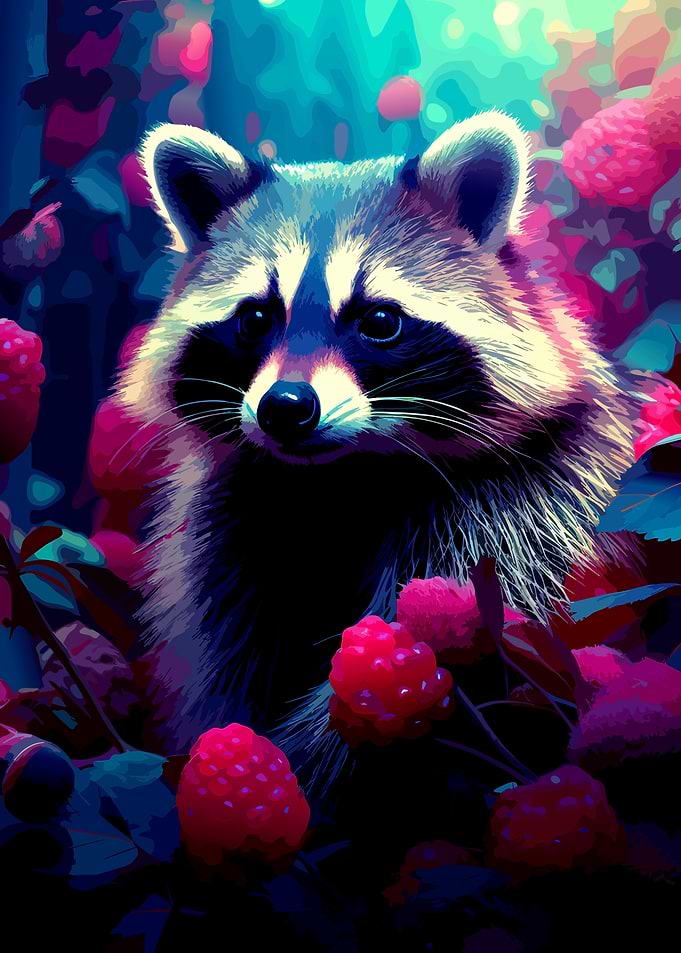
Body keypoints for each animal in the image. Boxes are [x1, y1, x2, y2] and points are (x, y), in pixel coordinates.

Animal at [119, 113, 639, 763]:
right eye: (256, 318)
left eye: (380, 321)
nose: (285, 407)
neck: (343, 480)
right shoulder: (227, 534)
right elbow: (226, 661)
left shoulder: (527, 506)